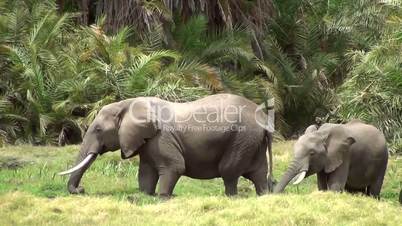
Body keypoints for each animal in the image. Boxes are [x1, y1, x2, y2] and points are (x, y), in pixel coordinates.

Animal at [59, 93, 274, 196]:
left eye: (98, 130)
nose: (81, 190)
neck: (127, 104)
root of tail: (265, 120)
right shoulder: (147, 142)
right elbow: (145, 173)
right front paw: (146, 196)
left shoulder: (161, 137)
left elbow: (175, 167)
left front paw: (162, 197)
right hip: (252, 142)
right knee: (258, 173)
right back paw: (263, 196)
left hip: (242, 138)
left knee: (229, 171)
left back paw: (231, 197)